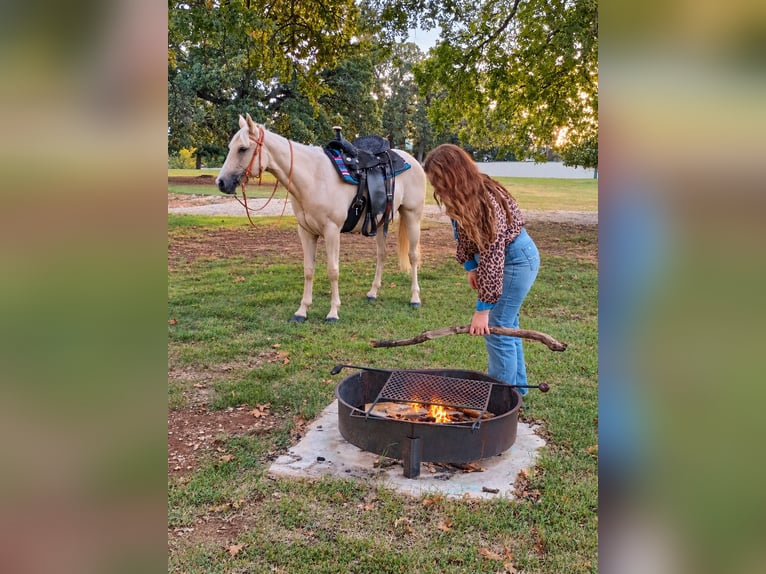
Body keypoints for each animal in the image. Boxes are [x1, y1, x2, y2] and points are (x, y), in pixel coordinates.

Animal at [215, 113, 426, 322]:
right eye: (231, 147)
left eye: (243, 149)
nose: (221, 182)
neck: (313, 178)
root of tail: (412, 161)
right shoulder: (306, 232)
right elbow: (308, 270)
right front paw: (302, 311)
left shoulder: (332, 231)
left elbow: (333, 271)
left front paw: (333, 312)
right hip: (380, 221)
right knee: (381, 254)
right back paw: (373, 293)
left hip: (412, 216)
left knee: (413, 256)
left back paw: (415, 298)